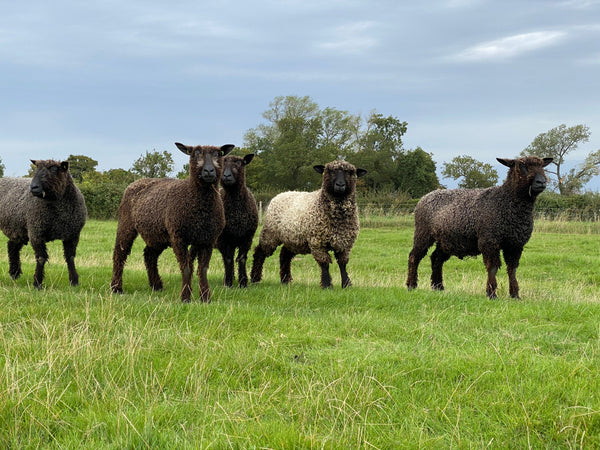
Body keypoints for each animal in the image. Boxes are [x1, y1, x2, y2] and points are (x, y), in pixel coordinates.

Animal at [0, 160, 88, 288]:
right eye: (36, 169)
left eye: (54, 169)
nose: (33, 187)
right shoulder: (36, 232)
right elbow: (41, 258)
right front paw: (37, 283)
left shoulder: (72, 235)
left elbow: (70, 257)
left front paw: (74, 281)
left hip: (19, 228)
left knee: (12, 245)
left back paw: (14, 273)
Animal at [110, 142, 234, 302]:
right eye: (195, 154)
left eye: (218, 154)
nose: (208, 171)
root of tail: (137, 181)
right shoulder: (178, 237)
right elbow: (186, 268)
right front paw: (185, 297)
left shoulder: (208, 239)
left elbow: (203, 269)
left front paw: (205, 297)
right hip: (126, 224)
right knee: (120, 253)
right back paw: (117, 288)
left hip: (157, 234)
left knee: (149, 254)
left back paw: (156, 285)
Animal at [218, 154, 260, 288]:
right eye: (221, 163)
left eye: (239, 163)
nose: (226, 176)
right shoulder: (224, 238)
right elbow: (228, 259)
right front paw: (228, 283)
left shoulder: (247, 237)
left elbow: (242, 258)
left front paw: (243, 282)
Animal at [248, 160, 366, 288]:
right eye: (329, 171)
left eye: (351, 172)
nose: (340, 185)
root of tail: (282, 194)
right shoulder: (317, 242)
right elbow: (324, 263)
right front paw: (327, 284)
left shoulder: (345, 243)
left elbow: (342, 264)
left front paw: (346, 284)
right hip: (270, 233)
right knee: (260, 252)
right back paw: (255, 278)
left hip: (293, 238)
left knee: (284, 254)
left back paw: (285, 280)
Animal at [408, 155, 552, 298]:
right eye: (521, 165)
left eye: (542, 166)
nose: (541, 182)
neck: (507, 201)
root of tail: (425, 197)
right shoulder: (489, 241)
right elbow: (492, 267)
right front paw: (491, 293)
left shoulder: (515, 244)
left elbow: (512, 269)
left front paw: (515, 295)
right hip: (423, 233)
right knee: (414, 256)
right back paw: (411, 285)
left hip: (446, 240)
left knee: (436, 259)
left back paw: (438, 287)